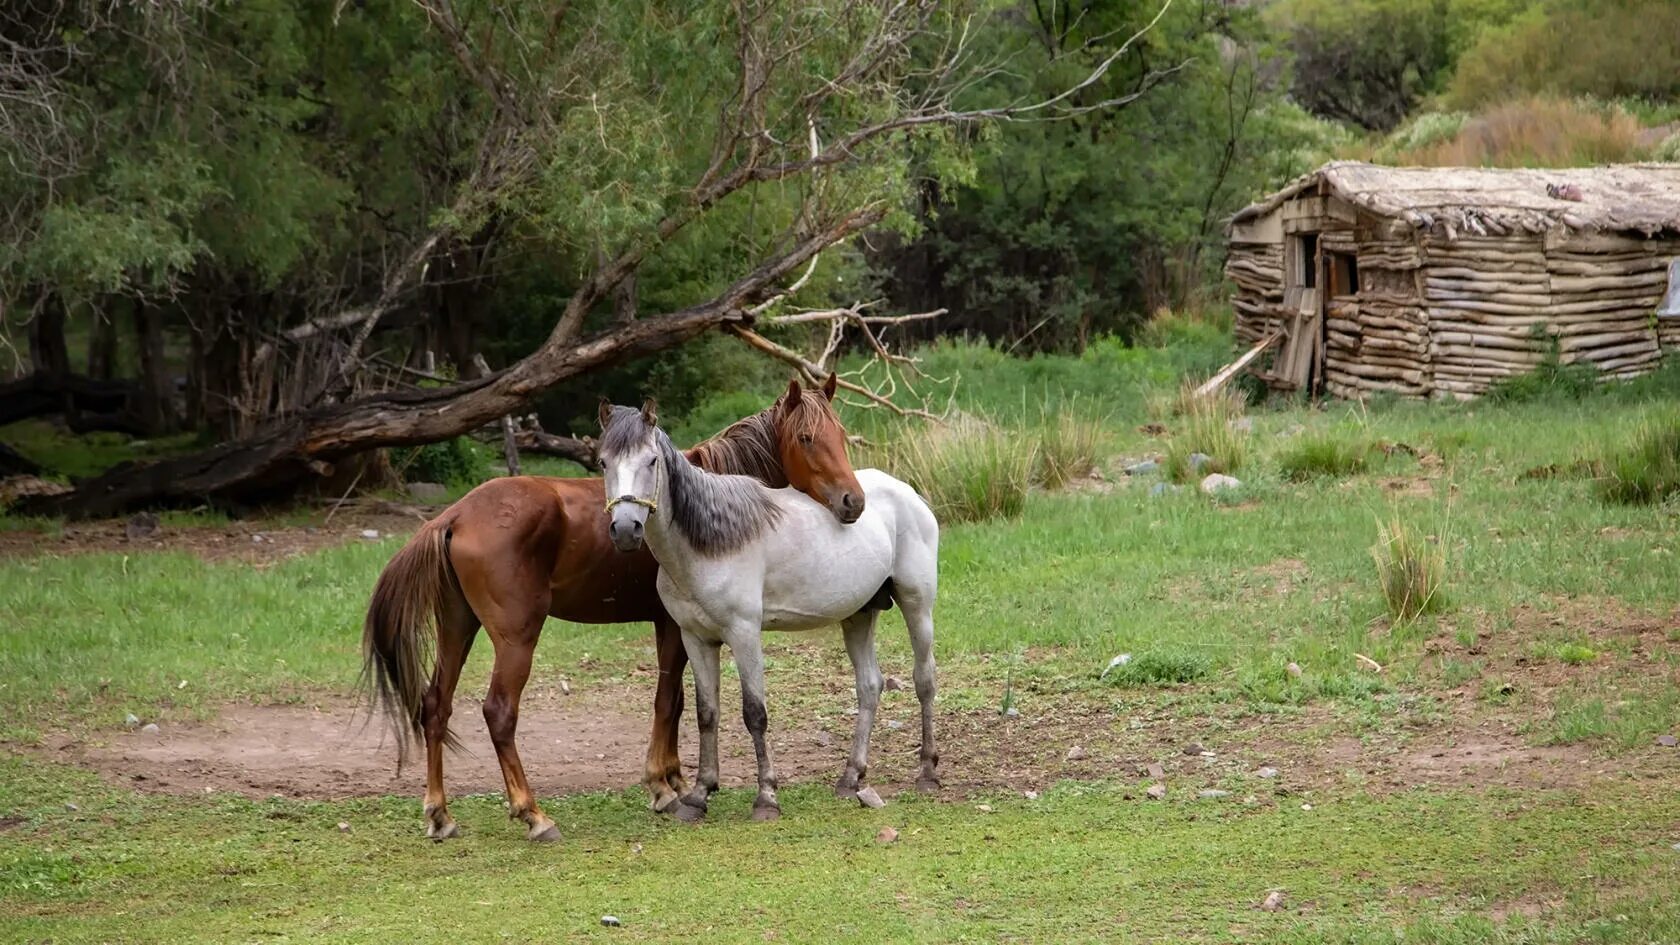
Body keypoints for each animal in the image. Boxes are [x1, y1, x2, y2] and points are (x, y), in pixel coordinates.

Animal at [367, 371, 866, 834]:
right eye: (806, 438)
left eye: (841, 435)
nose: (853, 501)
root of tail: (454, 515)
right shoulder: (672, 626)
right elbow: (667, 702)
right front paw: (663, 787)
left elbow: (677, 702)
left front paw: (674, 779)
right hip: (515, 638)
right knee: (499, 712)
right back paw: (533, 814)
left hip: (457, 626)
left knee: (436, 705)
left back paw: (439, 815)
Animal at [598, 395, 940, 817]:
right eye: (603, 462)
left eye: (650, 461)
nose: (625, 529)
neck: (709, 543)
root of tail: (907, 492)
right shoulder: (696, 639)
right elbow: (706, 714)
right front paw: (699, 794)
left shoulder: (744, 634)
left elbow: (754, 713)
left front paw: (766, 798)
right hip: (858, 616)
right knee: (869, 686)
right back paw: (850, 778)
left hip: (917, 604)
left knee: (924, 679)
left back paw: (927, 772)